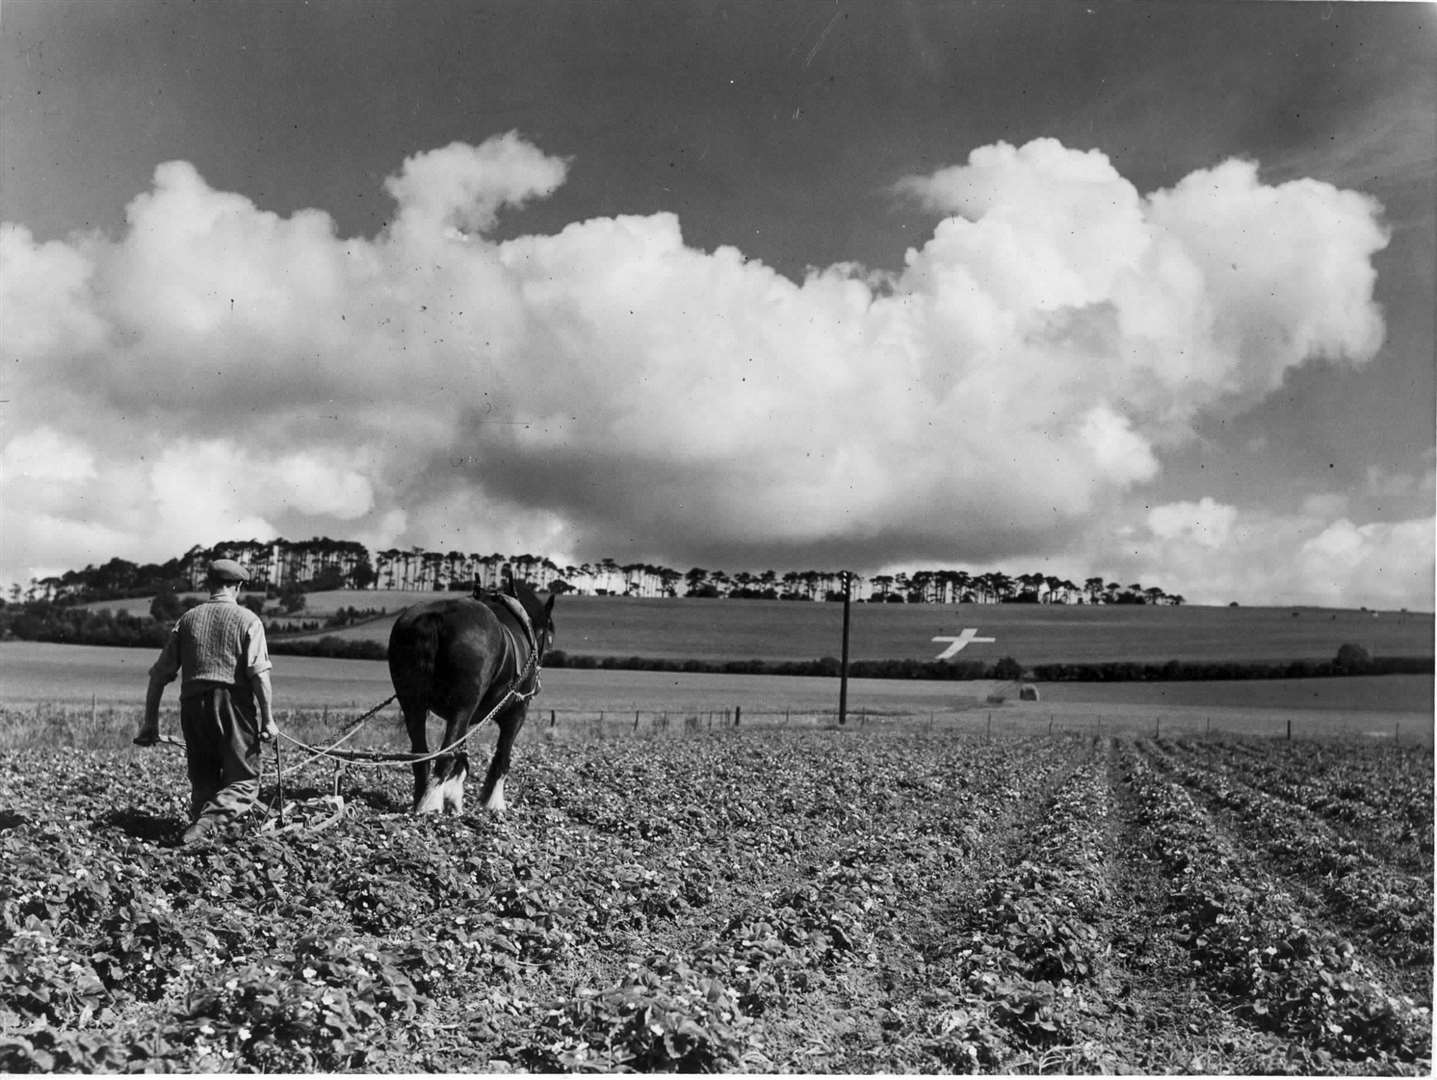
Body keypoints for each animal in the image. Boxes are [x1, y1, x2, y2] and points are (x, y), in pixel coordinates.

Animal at [387, 583, 554, 810]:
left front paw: (454, 798)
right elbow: (502, 757)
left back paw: (421, 797)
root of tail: (436, 616)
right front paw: (493, 804)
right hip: (463, 707)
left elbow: (462, 752)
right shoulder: (517, 713)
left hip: (413, 704)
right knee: (445, 755)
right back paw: (430, 805)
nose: (537, 684)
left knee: (422, 753)